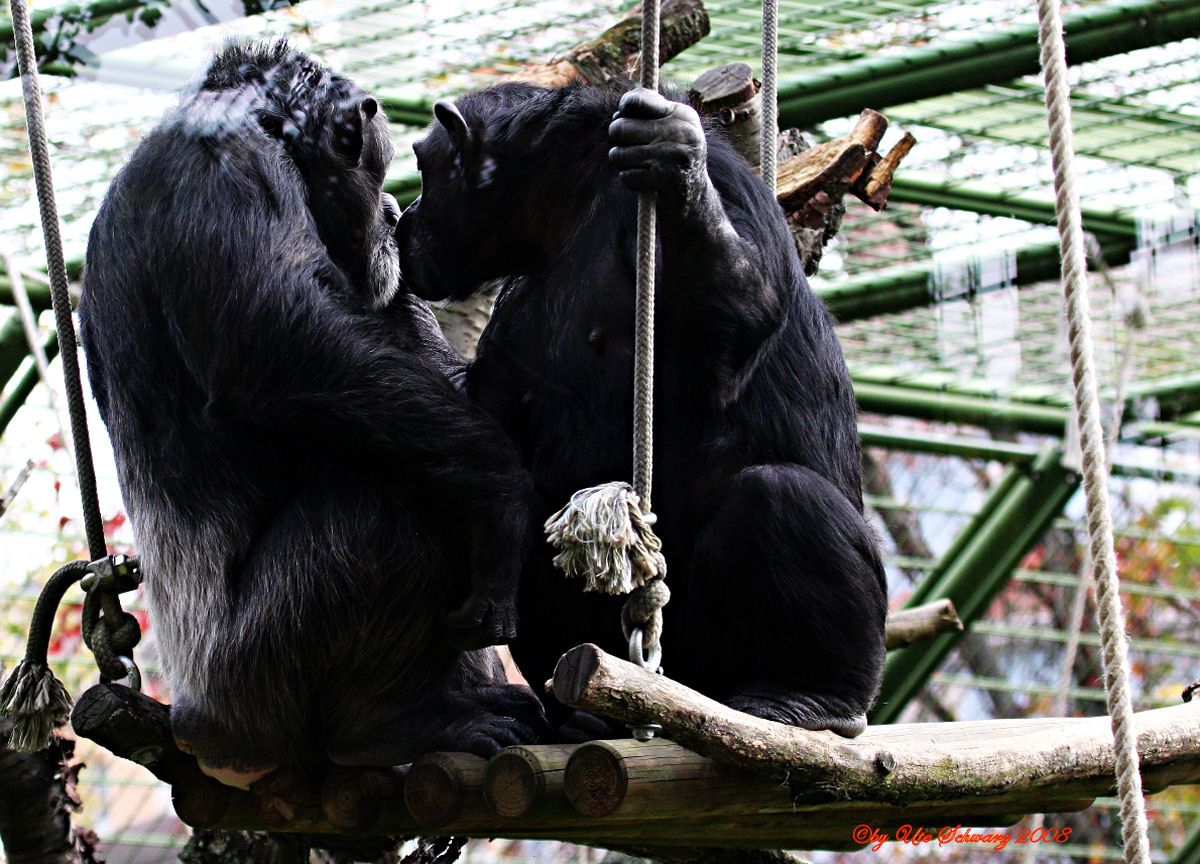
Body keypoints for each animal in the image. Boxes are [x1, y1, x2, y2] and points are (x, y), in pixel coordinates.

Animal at [75, 38, 544, 782]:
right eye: (379, 166)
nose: (392, 211)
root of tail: (204, 733)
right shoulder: (223, 167)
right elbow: (279, 344)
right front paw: (501, 489)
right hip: (259, 672)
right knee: (399, 500)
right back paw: (386, 724)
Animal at [398, 84, 888, 739]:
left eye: (425, 166)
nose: (405, 216)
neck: (568, 206)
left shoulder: (729, 186)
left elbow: (741, 311)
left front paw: (675, 159)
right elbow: (483, 418)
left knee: (780, 497)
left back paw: (812, 697)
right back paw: (587, 717)